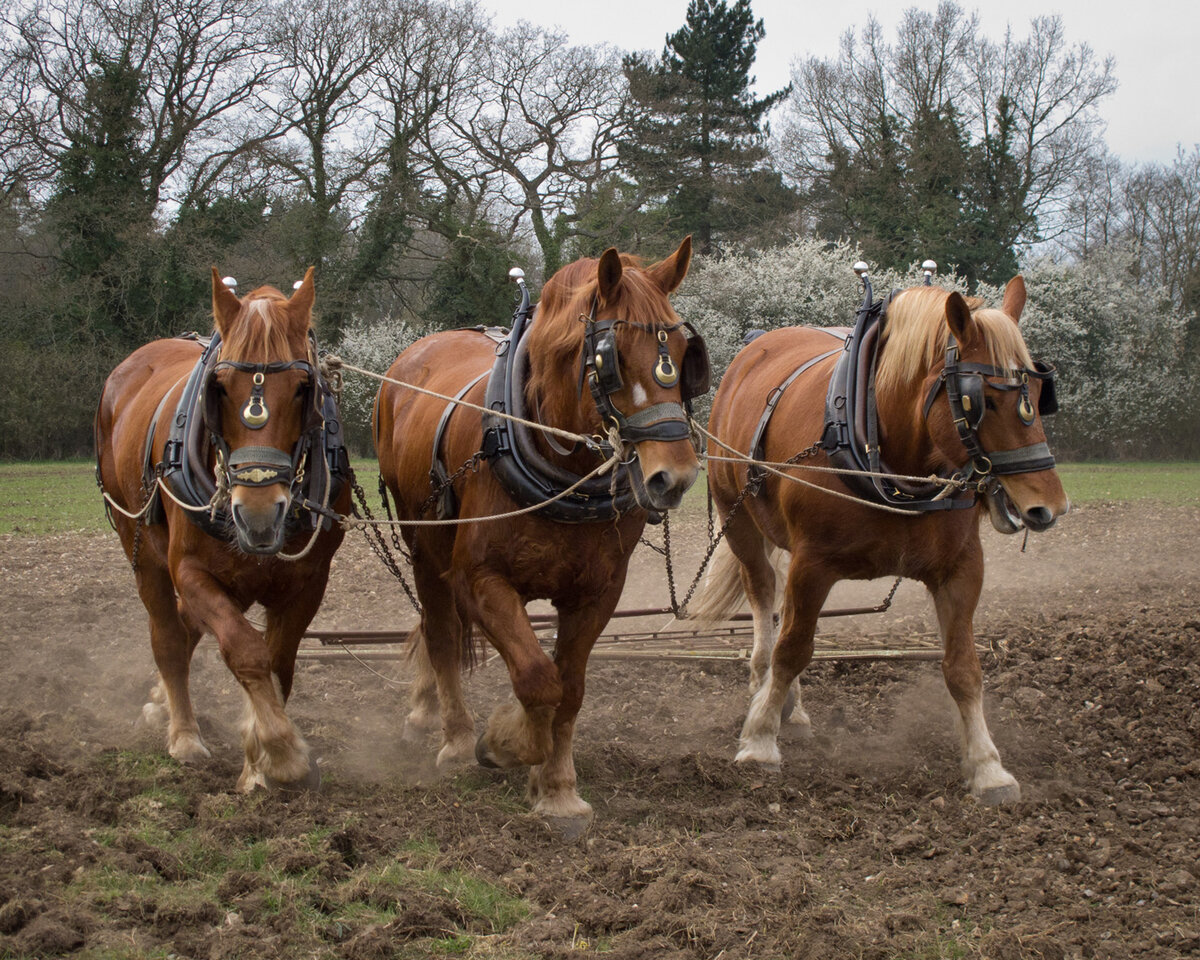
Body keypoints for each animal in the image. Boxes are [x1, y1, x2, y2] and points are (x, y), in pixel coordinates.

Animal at [94, 267, 350, 787]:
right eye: (222, 387)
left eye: (303, 387)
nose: (258, 514)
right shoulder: (192, 572)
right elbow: (244, 650)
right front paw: (280, 750)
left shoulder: (309, 582)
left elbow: (278, 662)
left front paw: (257, 757)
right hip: (140, 549)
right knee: (169, 638)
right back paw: (183, 734)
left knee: (187, 627)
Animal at [374, 236, 700, 830]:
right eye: (610, 358)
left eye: (687, 352)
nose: (676, 476)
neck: (562, 470)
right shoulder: (479, 581)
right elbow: (534, 676)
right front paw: (506, 745)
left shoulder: (597, 594)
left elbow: (568, 689)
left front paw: (556, 786)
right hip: (421, 546)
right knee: (439, 632)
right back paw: (455, 738)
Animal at [696, 272, 1070, 801]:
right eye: (982, 399)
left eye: (1039, 395)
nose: (1050, 506)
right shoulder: (813, 564)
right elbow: (793, 649)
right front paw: (760, 740)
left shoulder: (961, 570)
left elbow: (964, 667)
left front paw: (987, 765)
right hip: (740, 523)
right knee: (764, 597)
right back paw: (764, 689)